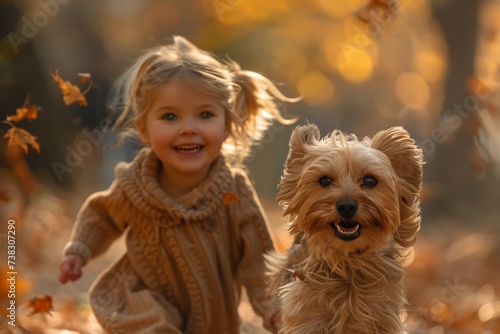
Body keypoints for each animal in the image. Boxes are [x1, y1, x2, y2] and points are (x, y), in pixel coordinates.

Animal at [268, 124, 424, 332]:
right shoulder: (307, 317)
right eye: (324, 181)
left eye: (370, 181)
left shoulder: (382, 317)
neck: (347, 261)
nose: (347, 206)